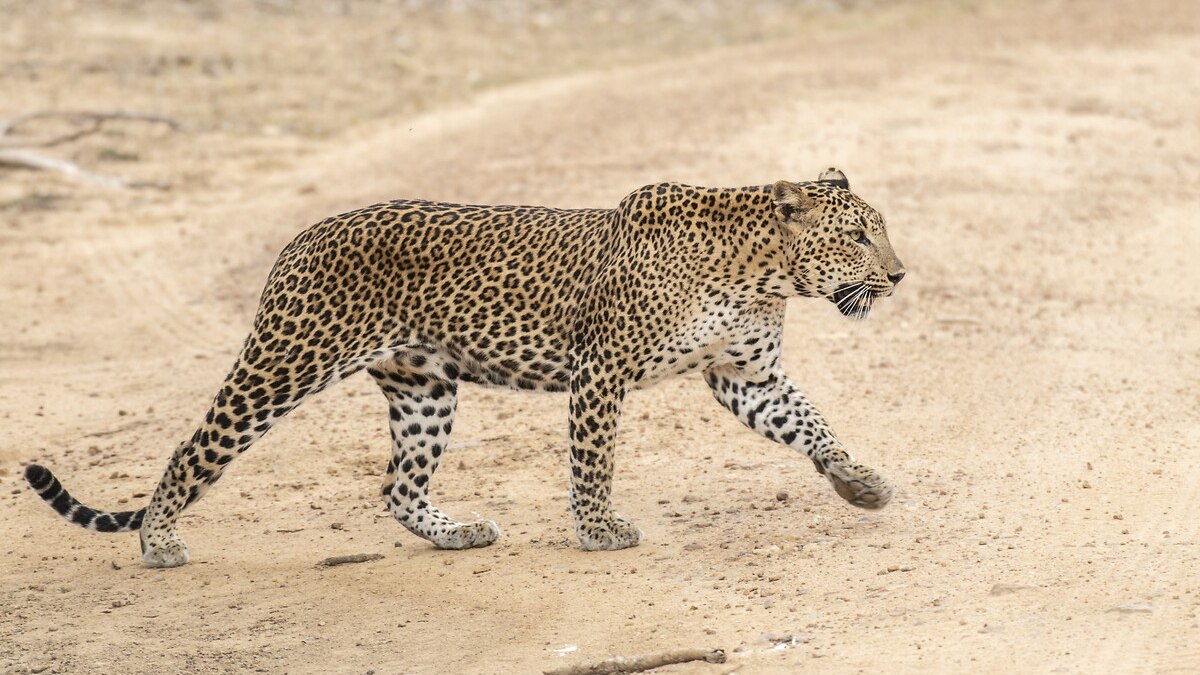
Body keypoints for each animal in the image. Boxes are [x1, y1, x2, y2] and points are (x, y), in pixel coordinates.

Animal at [21, 165, 902, 564]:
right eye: (859, 235)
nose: (898, 275)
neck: (762, 270)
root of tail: (297, 240)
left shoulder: (743, 375)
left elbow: (809, 421)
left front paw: (859, 482)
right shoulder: (601, 371)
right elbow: (594, 461)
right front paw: (599, 530)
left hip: (424, 387)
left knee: (398, 486)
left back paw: (459, 532)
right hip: (284, 364)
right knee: (191, 446)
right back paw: (159, 539)